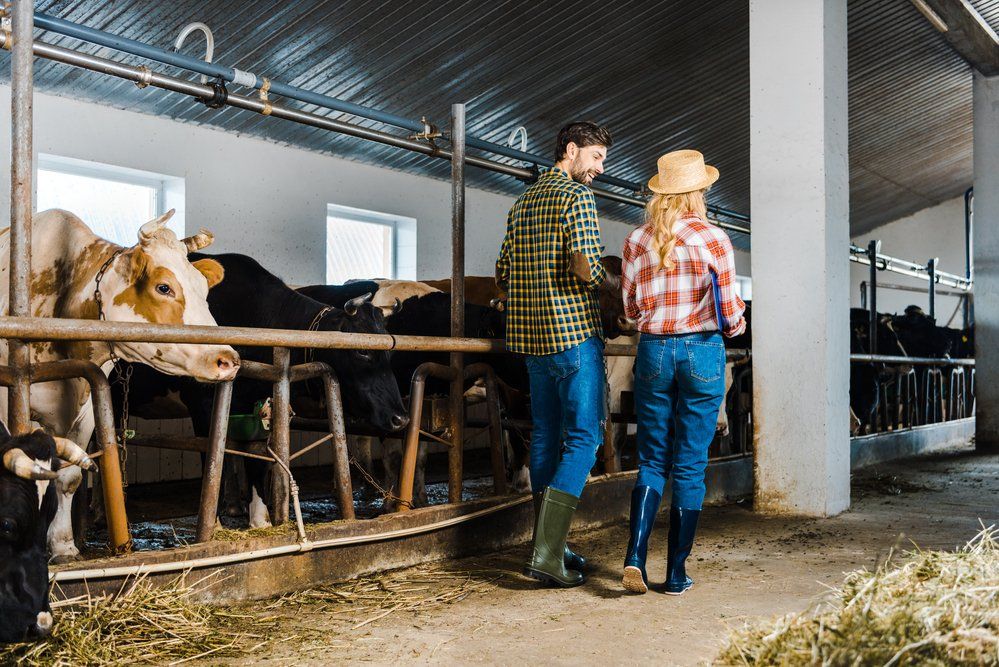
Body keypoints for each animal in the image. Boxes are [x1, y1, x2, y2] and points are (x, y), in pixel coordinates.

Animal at [0, 211, 240, 560]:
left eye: (203, 289)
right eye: (164, 287)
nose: (228, 359)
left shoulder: (86, 410)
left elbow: (69, 476)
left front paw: (64, 545)